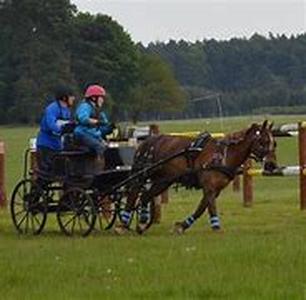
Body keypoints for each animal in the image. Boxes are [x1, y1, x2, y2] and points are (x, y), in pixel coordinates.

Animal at [116, 119, 276, 234]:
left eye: (274, 143)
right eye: (263, 141)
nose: (272, 165)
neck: (223, 155)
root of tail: (146, 142)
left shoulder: (215, 189)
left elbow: (201, 208)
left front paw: (182, 226)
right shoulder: (209, 186)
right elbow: (211, 207)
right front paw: (216, 227)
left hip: (163, 180)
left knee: (145, 196)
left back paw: (141, 222)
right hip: (143, 175)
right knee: (133, 193)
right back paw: (123, 224)